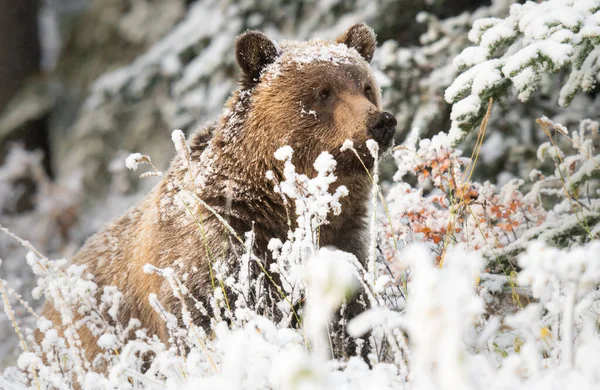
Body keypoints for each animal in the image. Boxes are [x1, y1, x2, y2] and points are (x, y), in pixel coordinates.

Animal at [42, 22, 398, 366]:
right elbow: (206, 318)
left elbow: (349, 315)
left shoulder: (343, 240)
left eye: (366, 87)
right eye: (323, 92)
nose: (381, 122)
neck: (274, 204)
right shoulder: (214, 255)